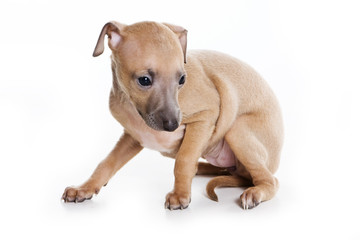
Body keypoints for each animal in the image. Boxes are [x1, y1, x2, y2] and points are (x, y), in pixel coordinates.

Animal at [63, 21, 286, 210]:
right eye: (144, 80)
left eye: (182, 79)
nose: (172, 125)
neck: (132, 107)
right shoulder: (133, 137)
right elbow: (107, 162)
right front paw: (85, 188)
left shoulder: (204, 117)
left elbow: (184, 160)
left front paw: (180, 195)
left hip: (238, 131)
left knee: (270, 180)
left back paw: (255, 193)